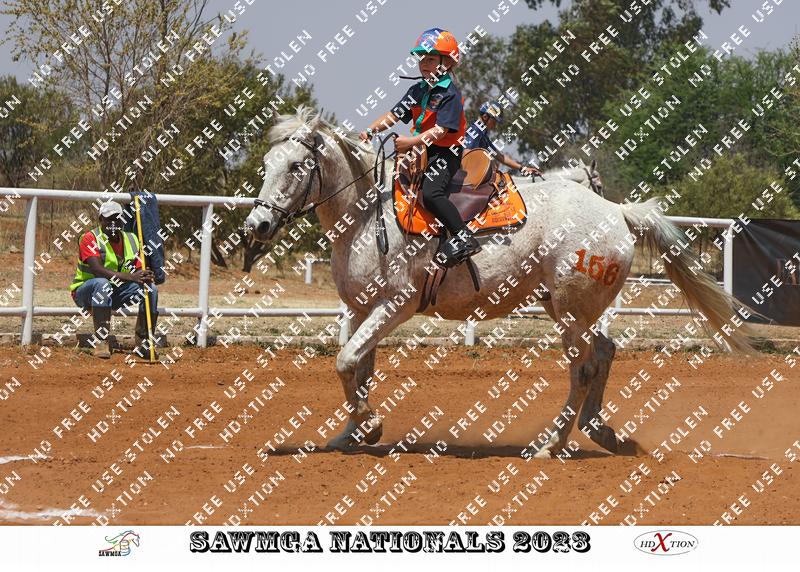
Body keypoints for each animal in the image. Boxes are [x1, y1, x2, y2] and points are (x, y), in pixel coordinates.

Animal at [245, 107, 753, 458]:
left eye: (295, 166)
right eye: (267, 163)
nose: (257, 226)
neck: (369, 214)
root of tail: (616, 213)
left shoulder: (395, 305)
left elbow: (347, 361)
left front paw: (369, 428)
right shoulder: (359, 307)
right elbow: (357, 368)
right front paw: (349, 435)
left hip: (572, 311)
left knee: (583, 368)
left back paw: (552, 444)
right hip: (569, 308)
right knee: (605, 353)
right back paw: (601, 432)